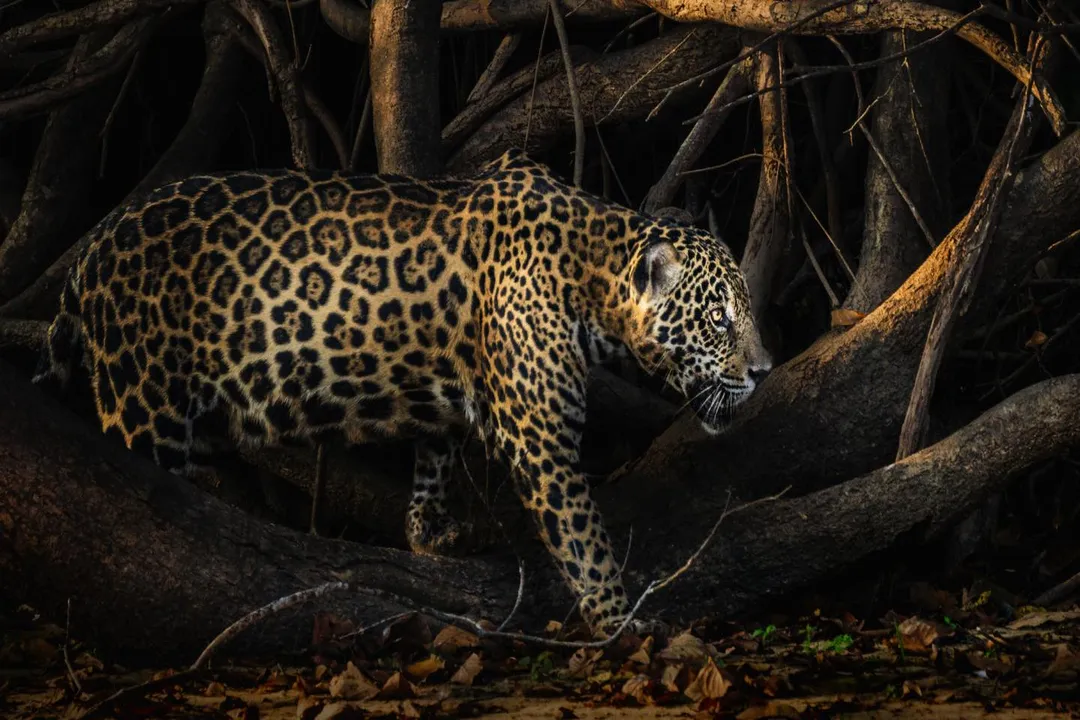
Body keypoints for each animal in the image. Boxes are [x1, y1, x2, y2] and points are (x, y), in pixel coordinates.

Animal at [33, 148, 772, 635]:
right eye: (718, 317)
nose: (765, 369)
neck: (589, 272)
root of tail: (90, 250)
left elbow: (437, 450)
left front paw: (430, 534)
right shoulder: (542, 443)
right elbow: (585, 541)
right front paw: (621, 623)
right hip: (143, 403)